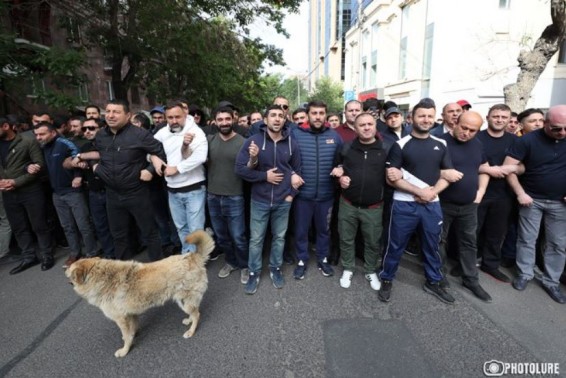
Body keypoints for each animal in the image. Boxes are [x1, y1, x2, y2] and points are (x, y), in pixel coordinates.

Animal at [66, 230, 215, 358]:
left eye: (71, 275)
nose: (65, 272)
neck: (101, 277)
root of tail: (193, 257)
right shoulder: (130, 314)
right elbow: (131, 330)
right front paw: (133, 336)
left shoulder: (121, 318)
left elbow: (127, 336)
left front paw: (124, 350)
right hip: (183, 301)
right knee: (194, 311)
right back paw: (188, 320)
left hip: (186, 300)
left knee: (197, 314)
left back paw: (191, 331)